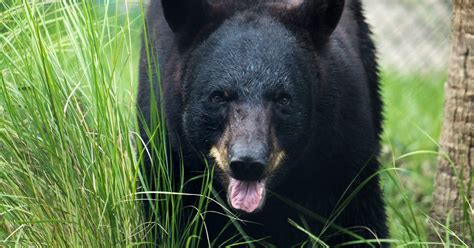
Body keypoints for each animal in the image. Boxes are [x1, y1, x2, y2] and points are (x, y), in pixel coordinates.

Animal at [136, 0, 386, 245]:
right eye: (218, 96)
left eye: (283, 98)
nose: (247, 163)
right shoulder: (167, 149)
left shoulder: (340, 149)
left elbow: (357, 218)